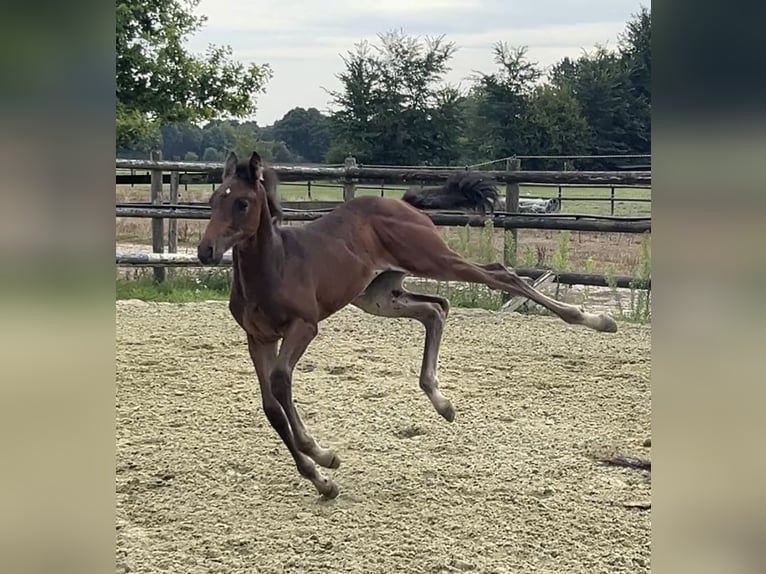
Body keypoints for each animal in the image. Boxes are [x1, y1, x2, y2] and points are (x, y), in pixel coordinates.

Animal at [197, 151, 617, 499]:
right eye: (214, 200)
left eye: (243, 202)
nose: (205, 251)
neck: (274, 266)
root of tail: (402, 203)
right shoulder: (258, 338)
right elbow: (271, 406)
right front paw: (322, 480)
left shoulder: (304, 326)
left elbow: (282, 382)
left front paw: (323, 455)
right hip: (379, 296)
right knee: (436, 309)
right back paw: (441, 401)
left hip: (431, 258)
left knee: (500, 275)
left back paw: (596, 320)